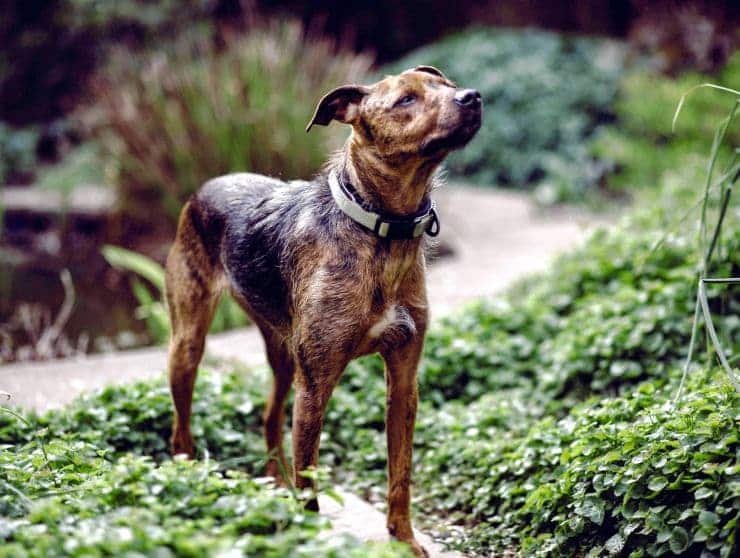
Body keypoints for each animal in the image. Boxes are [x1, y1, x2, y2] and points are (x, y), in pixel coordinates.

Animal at [165, 64, 482, 556]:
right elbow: (311, 480)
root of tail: (205, 187)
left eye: (446, 87)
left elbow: (400, 474)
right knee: (180, 428)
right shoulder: (316, 384)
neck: (380, 233)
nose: (472, 97)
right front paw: (310, 537)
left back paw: (274, 486)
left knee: (269, 418)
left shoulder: (403, 381)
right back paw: (189, 479)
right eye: (406, 100)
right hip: (189, 344)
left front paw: (404, 539)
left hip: (282, 357)